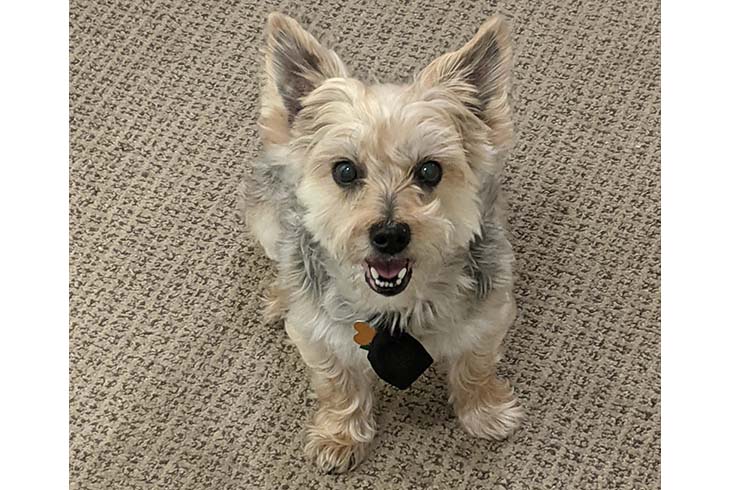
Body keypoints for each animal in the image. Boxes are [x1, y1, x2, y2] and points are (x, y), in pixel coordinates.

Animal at [239, 10, 520, 470]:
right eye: (345, 171)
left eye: (429, 170)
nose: (389, 234)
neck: (396, 309)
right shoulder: (316, 336)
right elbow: (337, 383)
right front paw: (340, 436)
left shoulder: (489, 316)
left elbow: (475, 367)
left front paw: (484, 411)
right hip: (264, 218)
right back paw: (282, 295)